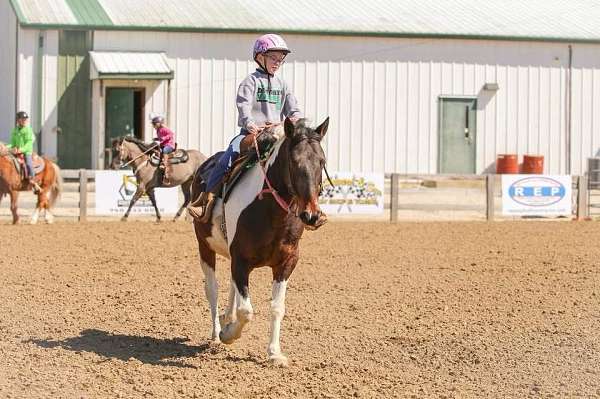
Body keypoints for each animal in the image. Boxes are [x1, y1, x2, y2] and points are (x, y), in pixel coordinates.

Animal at [191, 117, 328, 368]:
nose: (311, 215)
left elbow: (276, 308)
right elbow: (246, 310)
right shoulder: (240, 260)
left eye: (321, 161)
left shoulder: (287, 263)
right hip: (204, 246)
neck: (271, 212)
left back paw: (227, 317)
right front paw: (228, 334)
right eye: (294, 161)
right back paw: (216, 334)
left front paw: (274, 353)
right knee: (212, 288)